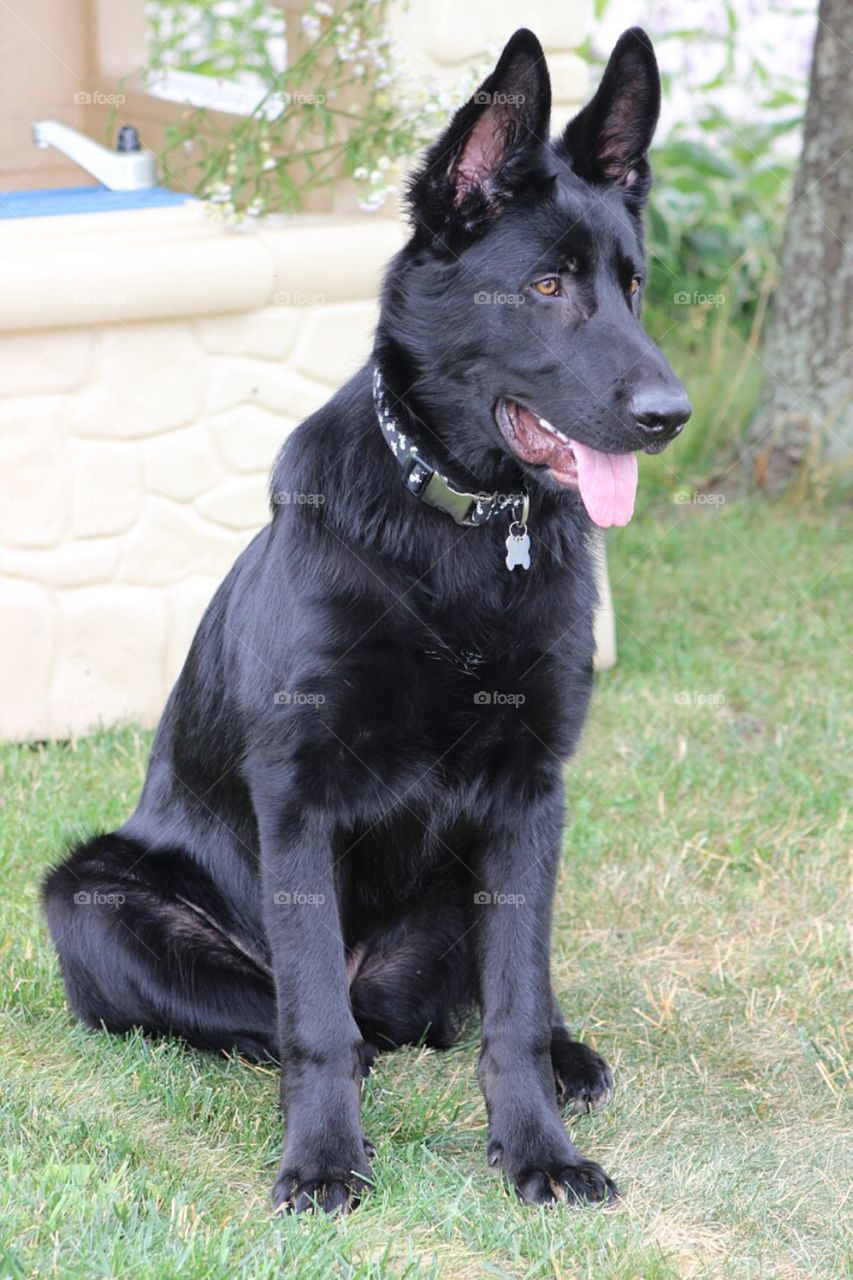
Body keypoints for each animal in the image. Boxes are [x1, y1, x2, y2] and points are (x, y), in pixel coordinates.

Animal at [43, 27, 686, 1208]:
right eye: (544, 285)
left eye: (632, 286)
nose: (671, 416)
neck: (464, 537)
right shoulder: (298, 800)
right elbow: (314, 1022)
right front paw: (323, 1155)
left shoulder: (531, 796)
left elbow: (513, 1008)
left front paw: (537, 1150)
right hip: (91, 900)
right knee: (315, 1016)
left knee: (477, 1003)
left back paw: (565, 1052)